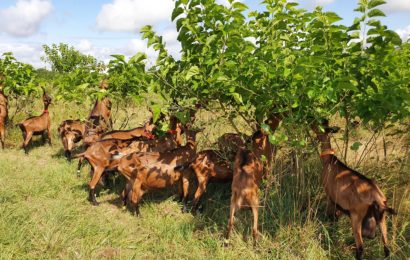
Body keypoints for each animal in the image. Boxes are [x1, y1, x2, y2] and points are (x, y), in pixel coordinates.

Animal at [312, 120, 396, 260]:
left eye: (319, 126)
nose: (310, 122)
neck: (329, 160)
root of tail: (377, 197)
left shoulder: (330, 196)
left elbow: (331, 216)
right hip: (381, 218)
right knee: (387, 248)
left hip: (357, 217)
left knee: (360, 247)